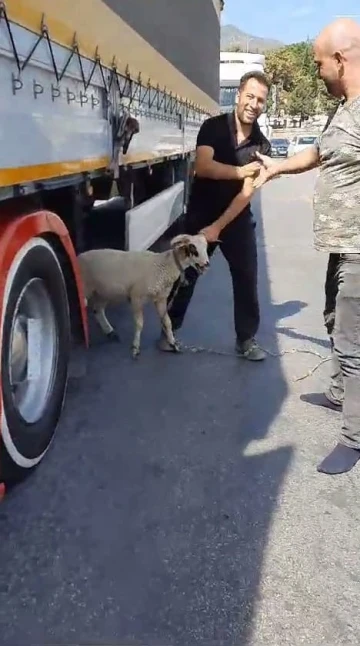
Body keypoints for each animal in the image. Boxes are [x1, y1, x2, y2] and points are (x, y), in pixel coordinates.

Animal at [77, 234, 210, 360]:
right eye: (193, 247)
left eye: (206, 247)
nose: (206, 264)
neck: (165, 265)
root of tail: (79, 257)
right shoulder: (137, 297)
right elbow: (139, 323)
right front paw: (135, 348)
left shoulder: (161, 298)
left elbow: (167, 321)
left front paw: (173, 344)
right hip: (86, 287)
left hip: (103, 291)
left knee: (98, 310)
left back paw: (110, 332)